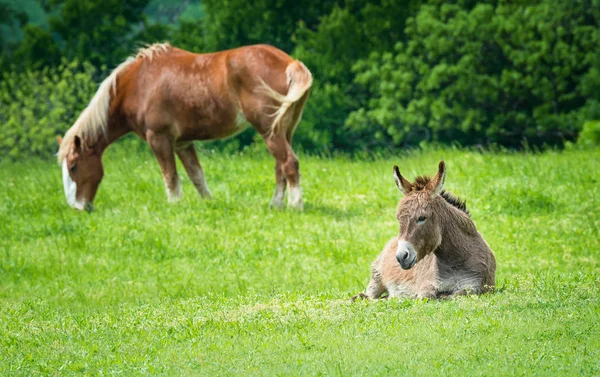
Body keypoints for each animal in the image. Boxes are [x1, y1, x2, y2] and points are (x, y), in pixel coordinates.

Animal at [55, 43, 314, 212]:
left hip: (270, 131)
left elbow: (170, 175)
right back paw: (276, 205)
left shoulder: (159, 138)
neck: (139, 83)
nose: (78, 208)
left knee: (289, 164)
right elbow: (196, 175)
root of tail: (291, 63)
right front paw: (208, 204)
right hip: (284, 131)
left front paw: (174, 206)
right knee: (280, 167)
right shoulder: (183, 143)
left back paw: (294, 205)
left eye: (74, 166)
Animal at [352, 162, 496, 300]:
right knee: (366, 297)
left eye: (422, 218)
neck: (454, 261)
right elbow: (427, 296)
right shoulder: (426, 285)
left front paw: (444, 296)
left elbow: (457, 294)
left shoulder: (475, 286)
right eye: (399, 218)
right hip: (377, 277)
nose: (401, 257)